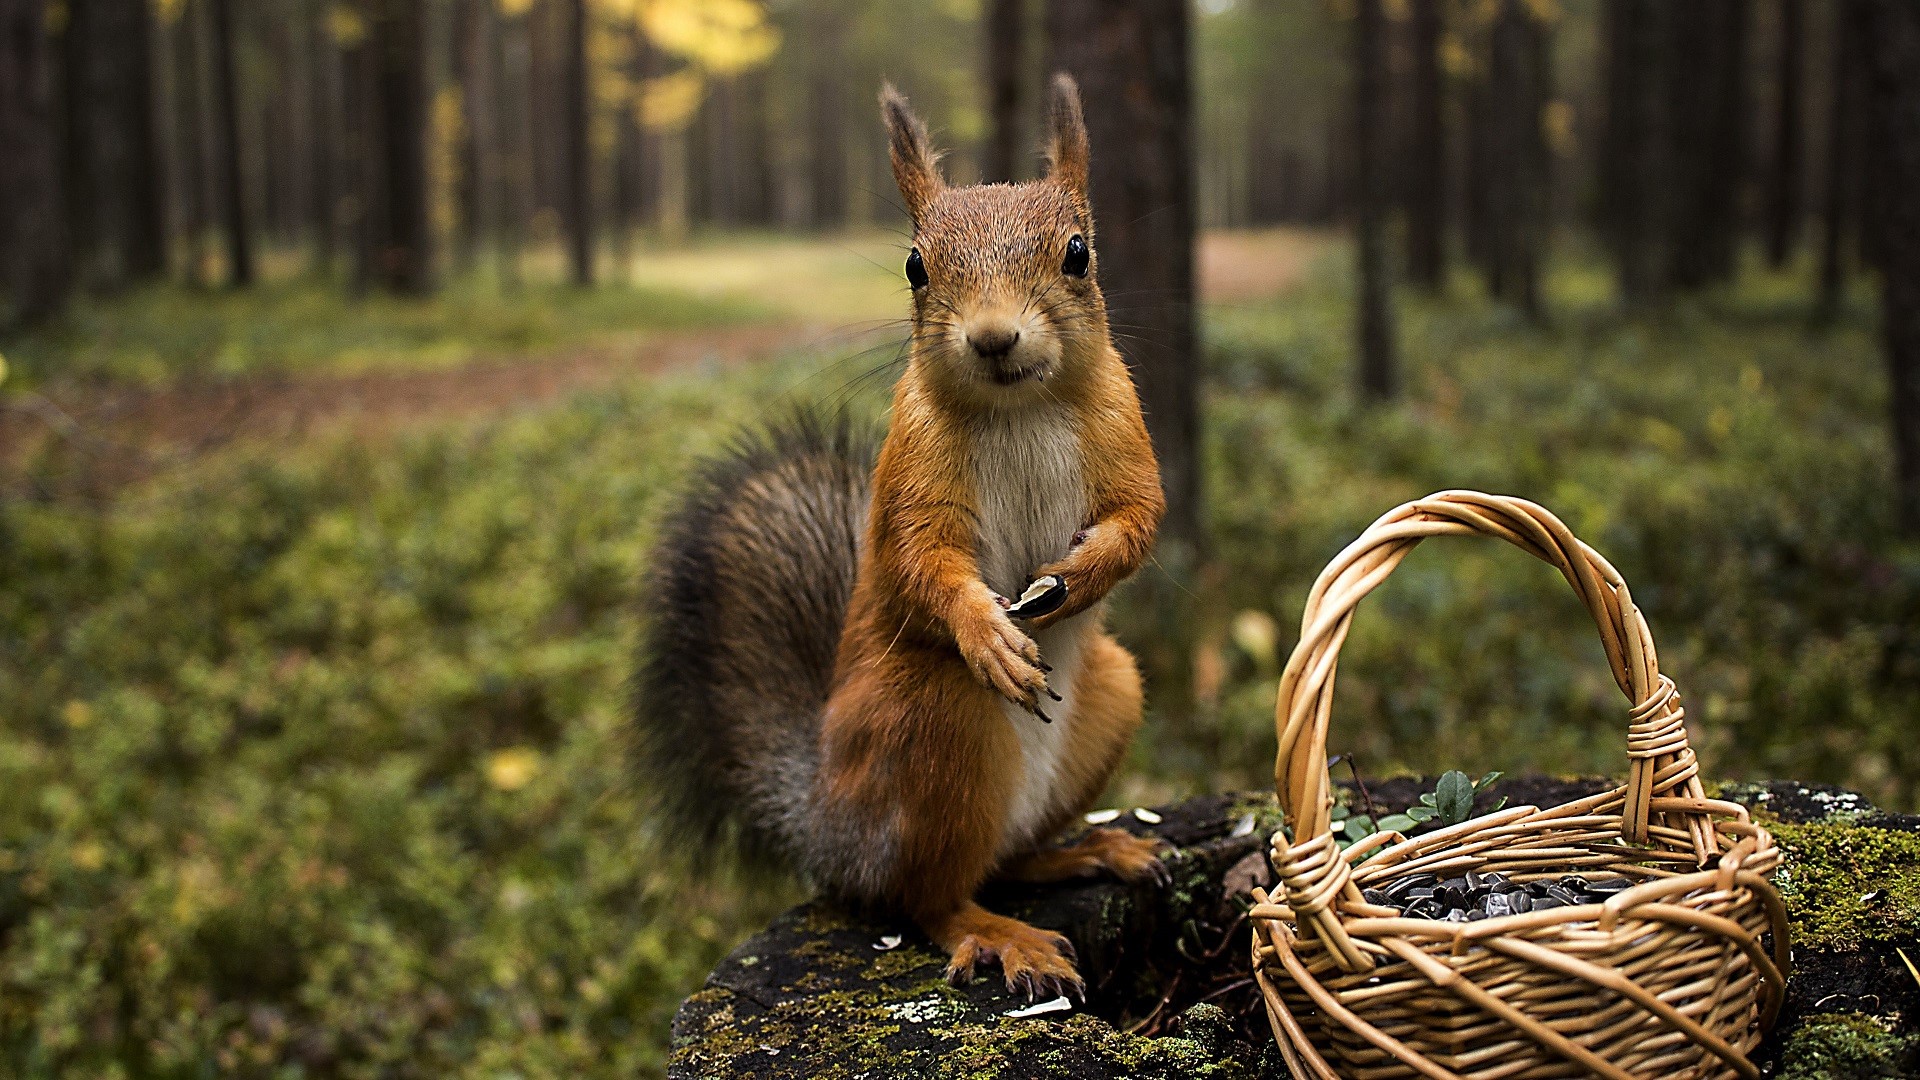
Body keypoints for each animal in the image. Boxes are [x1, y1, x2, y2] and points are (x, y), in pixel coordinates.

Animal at [634, 75, 1167, 1002]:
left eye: (1078, 253)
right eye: (917, 266)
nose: (993, 337)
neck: (1020, 406)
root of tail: (827, 828)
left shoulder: (1125, 434)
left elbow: (1139, 519)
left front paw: (1083, 574)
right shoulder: (912, 475)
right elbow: (922, 562)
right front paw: (988, 632)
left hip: (1112, 696)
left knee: (1005, 859)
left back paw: (1088, 850)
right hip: (932, 723)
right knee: (927, 896)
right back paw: (999, 933)